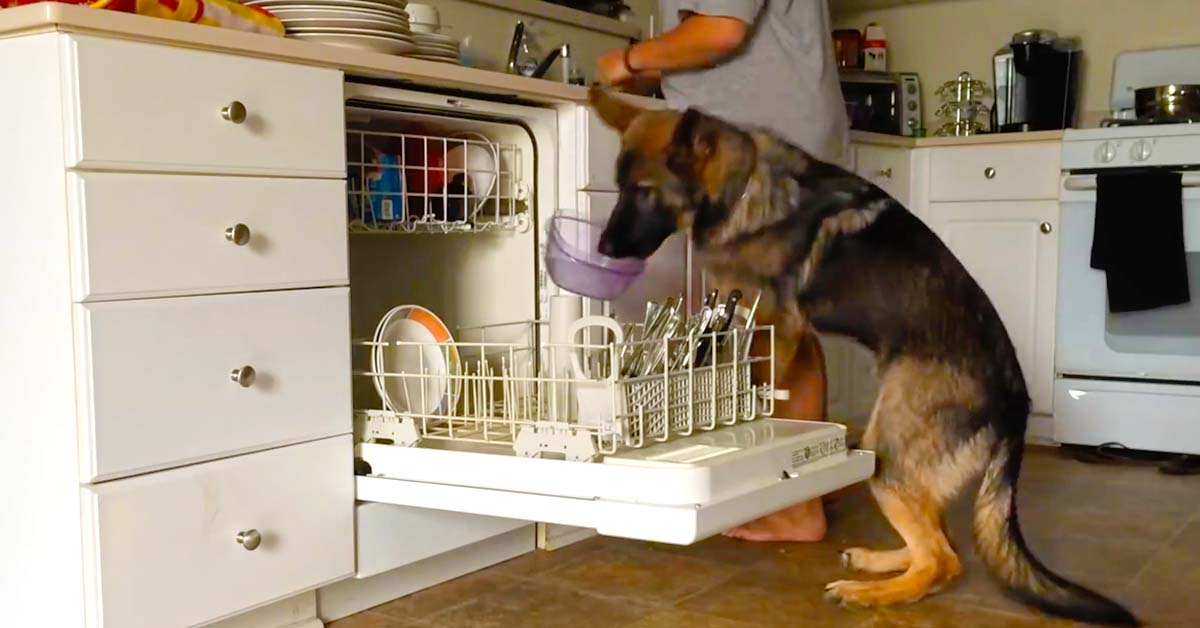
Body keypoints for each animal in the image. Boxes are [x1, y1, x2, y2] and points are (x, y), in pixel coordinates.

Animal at [590, 84, 1142, 628]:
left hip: (888, 451)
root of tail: (1017, 401)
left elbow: (757, 379)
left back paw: (870, 593)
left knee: (943, 561)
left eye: (644, 191)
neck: (745, 187)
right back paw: (881, 563)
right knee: (939, 542)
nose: (603, 248)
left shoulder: (776, 326)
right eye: (618, 188)